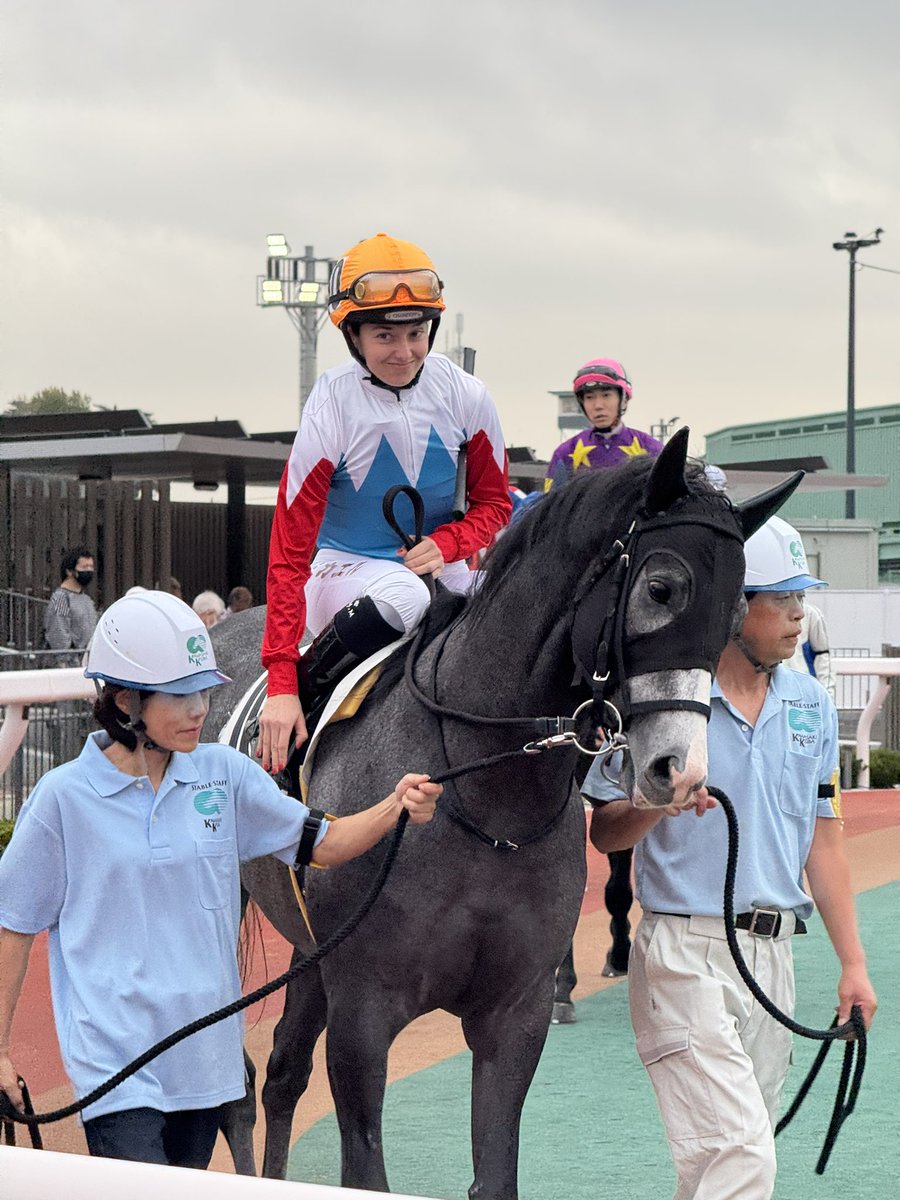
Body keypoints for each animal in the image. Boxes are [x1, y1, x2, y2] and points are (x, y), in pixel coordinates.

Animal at [207, 431, 797, 1197]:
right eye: (662, 588)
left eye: (734, 618)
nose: (681, 770)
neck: (485, 800)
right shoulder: (364, 1011)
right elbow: (364, 1167)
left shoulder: (512, 1016)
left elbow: (495, 1172)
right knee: (239, 1081)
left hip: (310, 946)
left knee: (282, 1071)